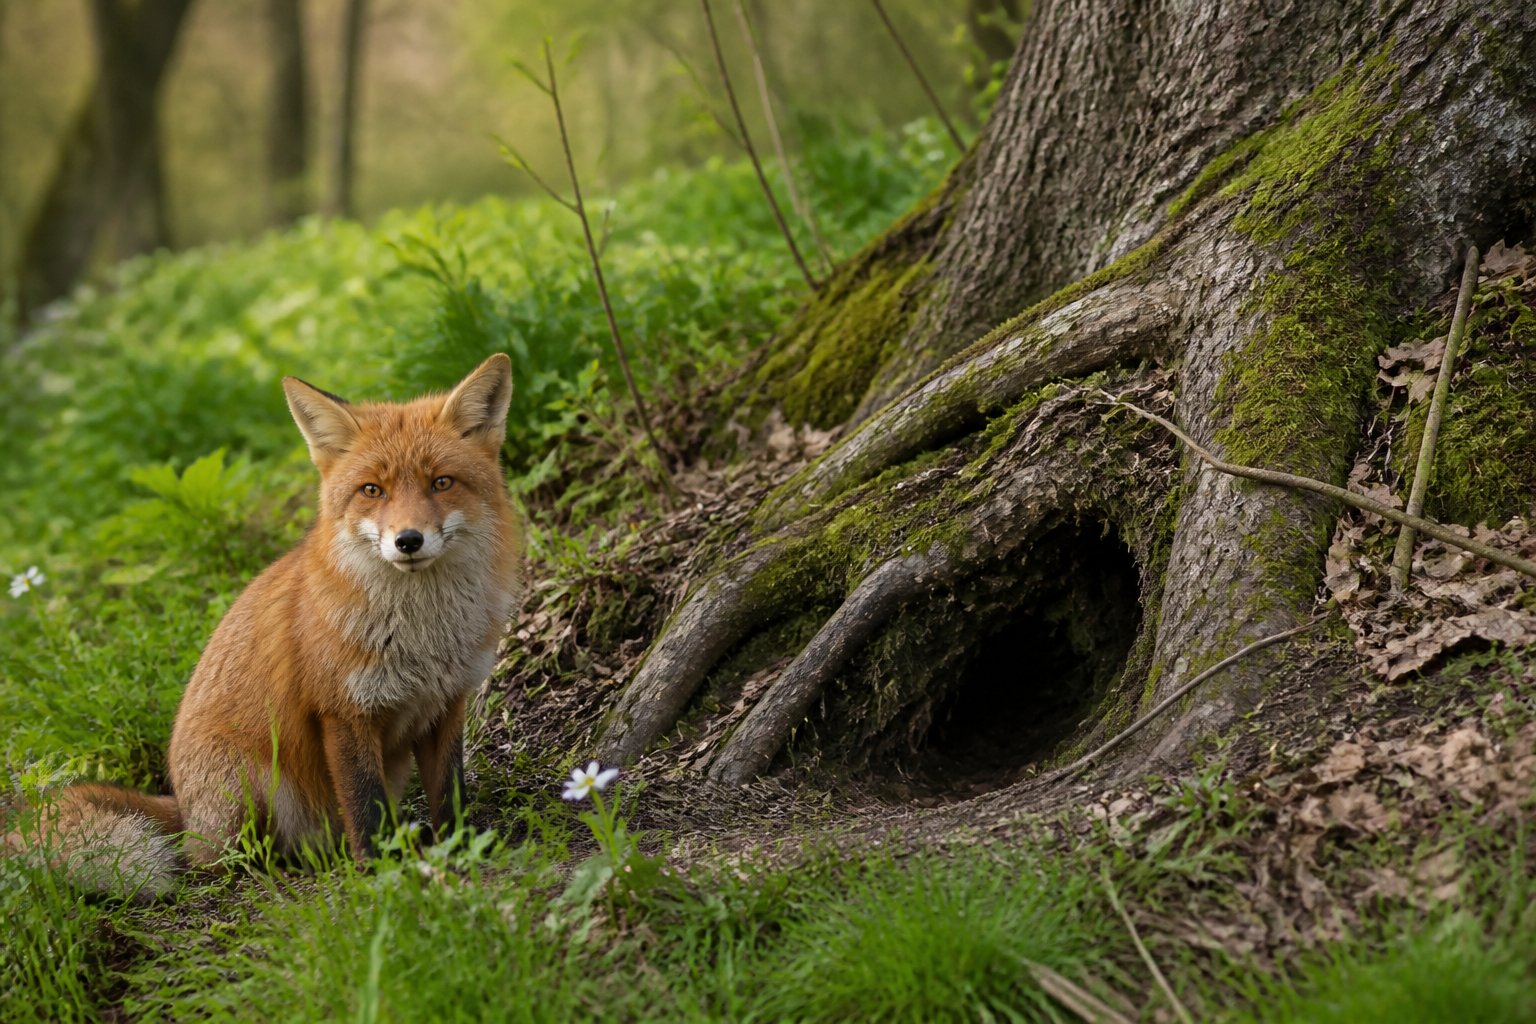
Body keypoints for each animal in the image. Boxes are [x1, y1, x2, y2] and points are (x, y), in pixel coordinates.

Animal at [7, 355, 525, 898]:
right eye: (372, 490)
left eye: (441, 482)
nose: (408, 540)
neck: (424, 636)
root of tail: (185, 810)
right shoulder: (342, 713)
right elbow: (365, 808)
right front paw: (382, 872)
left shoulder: (446, 703)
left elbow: (451, 795)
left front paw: (461, 849)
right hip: (248, 784)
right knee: (215, 863)